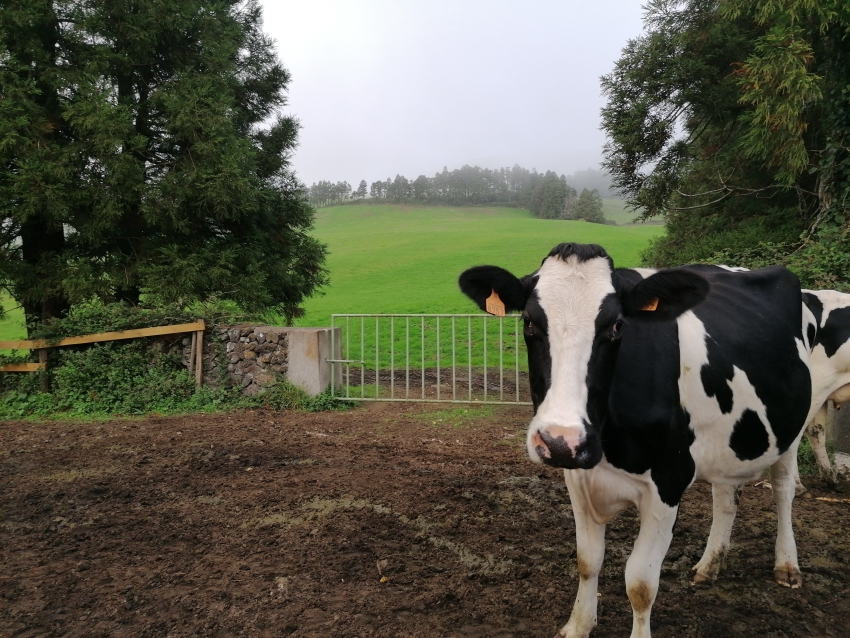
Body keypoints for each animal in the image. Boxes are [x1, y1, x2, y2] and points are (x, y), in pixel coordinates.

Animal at [458, 244, 820, 638]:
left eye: (617, 326)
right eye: (528, 322)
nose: (559, 440)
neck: (610, 447)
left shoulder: (668, 482)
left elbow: (641, 583)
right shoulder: (578, 475)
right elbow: (587, 560)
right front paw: (578, 625)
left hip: (792, 430)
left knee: (783, 490)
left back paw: (787, 565)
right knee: (726, 496)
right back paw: (709, 565)